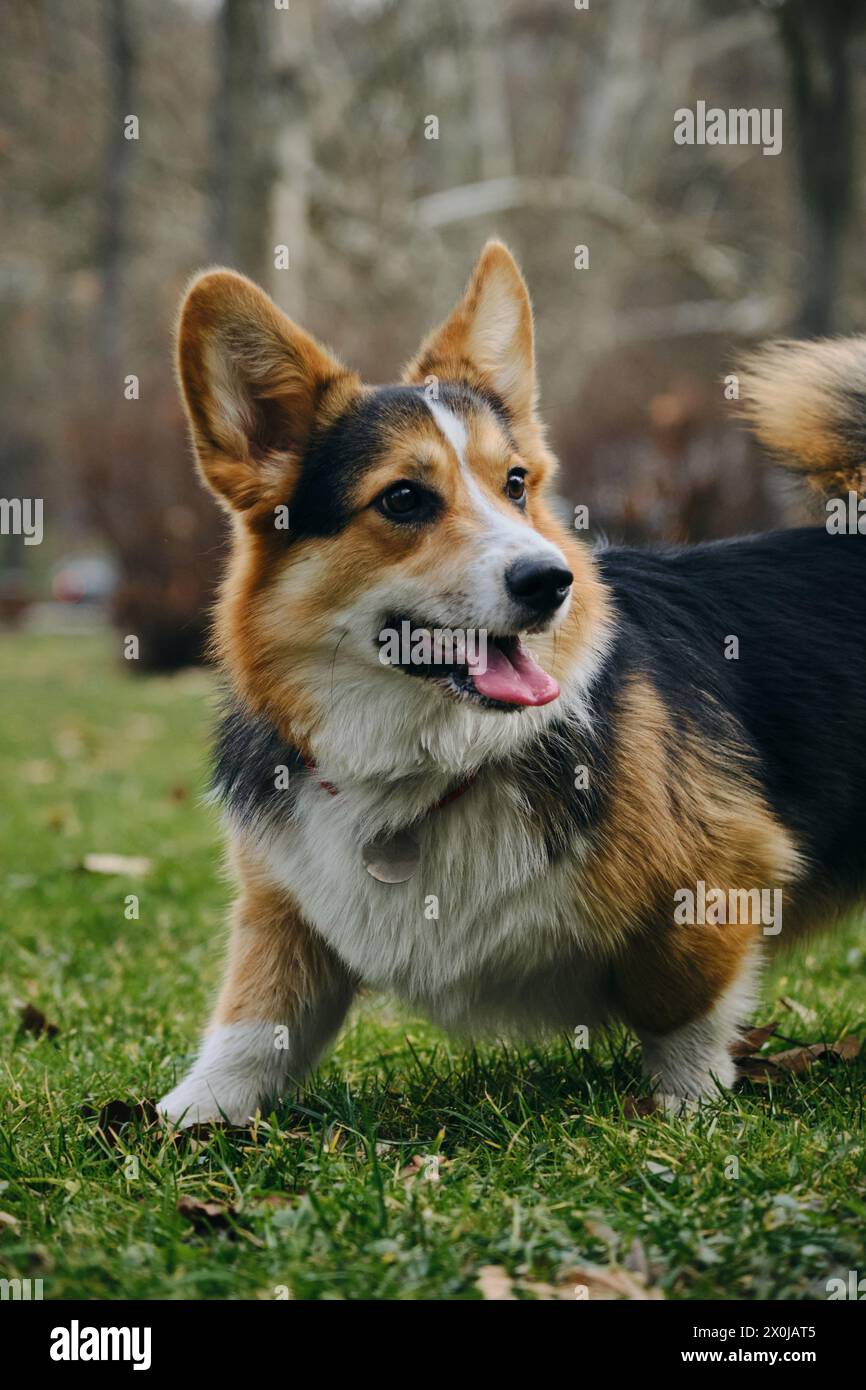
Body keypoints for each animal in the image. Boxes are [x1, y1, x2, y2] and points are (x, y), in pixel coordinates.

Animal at [159, 241, 866, 1128]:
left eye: (517, 485)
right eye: (403, 499)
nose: (551, 581)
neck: (428, 764)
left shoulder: (727, 869)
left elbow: (680, 1006)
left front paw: (686, 1109)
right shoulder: (284, 907)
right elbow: (253, 1019)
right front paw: (186, 1117)